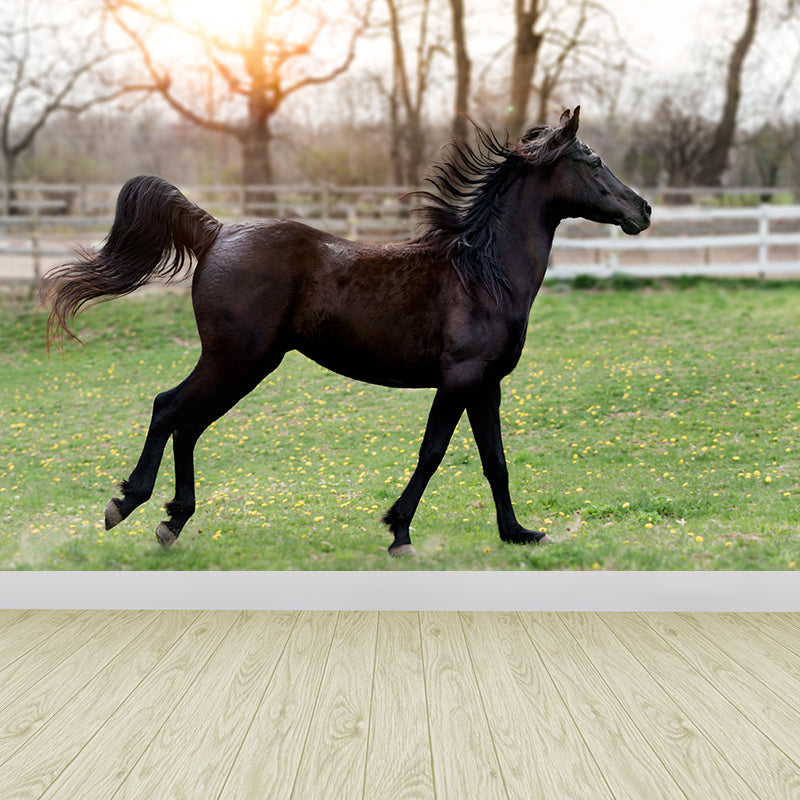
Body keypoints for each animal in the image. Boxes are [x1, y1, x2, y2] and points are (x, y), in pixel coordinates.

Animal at [41, 107, 651, 555]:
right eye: (593, 160)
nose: (642, 210)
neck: (483, 273)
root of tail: (216, 232)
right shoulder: (458, 378)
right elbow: (433, 451)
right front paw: (399, 532)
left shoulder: (488, 384)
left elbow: (494, 460)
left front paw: (518, 534)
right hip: (237, 359)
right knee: (170, 409)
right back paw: (127, 505)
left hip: (241, 364)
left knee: (187, 423)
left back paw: (172, 521)